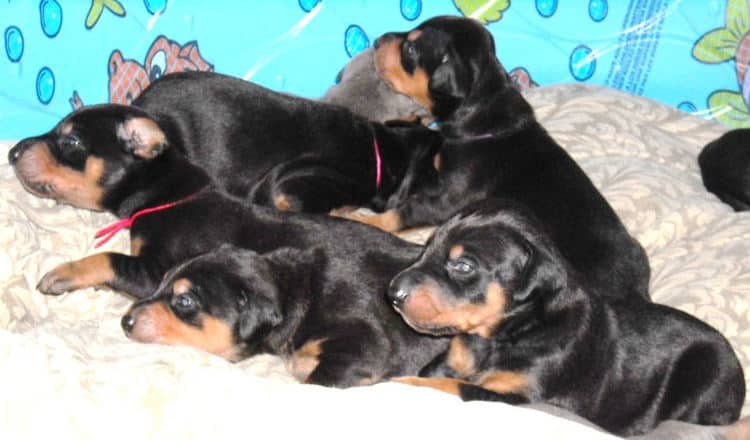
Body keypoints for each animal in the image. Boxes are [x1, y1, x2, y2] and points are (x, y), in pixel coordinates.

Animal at [340, 14, 652, 302]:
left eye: (411, 48)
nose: (377, 40)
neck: (479, 108)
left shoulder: (445, 199)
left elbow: (400, 212)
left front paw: (354, 217)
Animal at [388, 199, 748, 436]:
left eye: (463, 265)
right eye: (427, 247)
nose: (392, 293)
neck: (508, 333)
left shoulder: (517, 394)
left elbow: (447, 387)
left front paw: (397, 383)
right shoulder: (452, 362)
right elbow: (435, 374)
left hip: (707, 379)